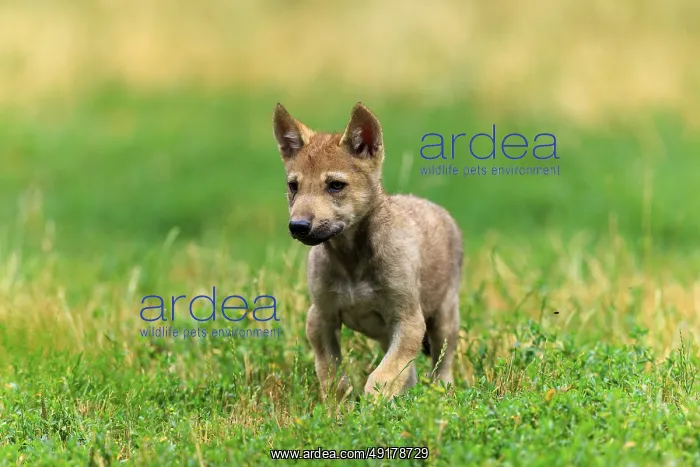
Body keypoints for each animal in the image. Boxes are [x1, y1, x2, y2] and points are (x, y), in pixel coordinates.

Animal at [272, 102, 463, 399]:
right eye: (294, 186)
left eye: (335, 185)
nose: (298, 226)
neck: (351, 261)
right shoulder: (320, 318)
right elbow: (332, 375)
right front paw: (339, 407)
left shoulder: (409, 320)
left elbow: (381, 378)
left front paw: (372, 408)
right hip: (388, 333)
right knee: (409, 374)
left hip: (444, 320)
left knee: (441, 369)